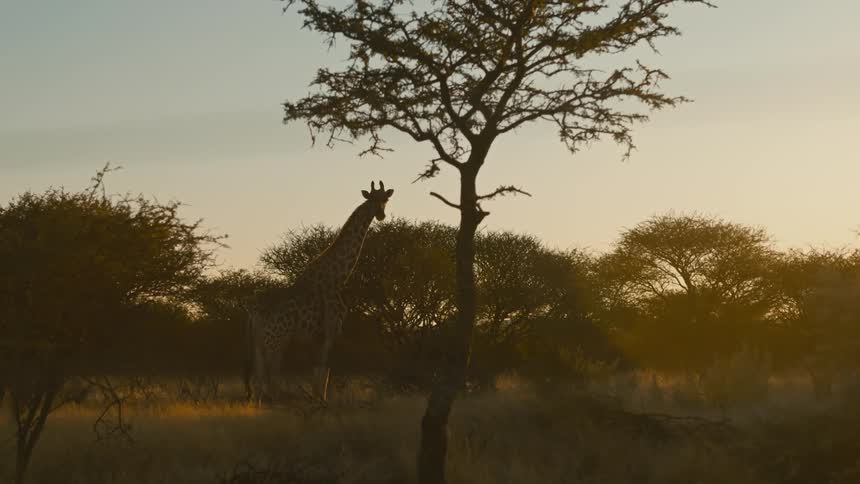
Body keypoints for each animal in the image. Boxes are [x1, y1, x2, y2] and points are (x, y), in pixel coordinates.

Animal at [245, 181, 394, 403]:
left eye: (385, 199)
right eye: (372, 199)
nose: (381, 215)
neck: (338, 278)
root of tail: (256, 311)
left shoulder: (315, 337)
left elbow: (317, 373)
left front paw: (316, 400)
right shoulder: (332, 329)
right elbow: (325, 372)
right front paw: (322, 402)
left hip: (258, 342)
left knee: (260, 376)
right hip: (276, 340)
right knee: (271, 376)